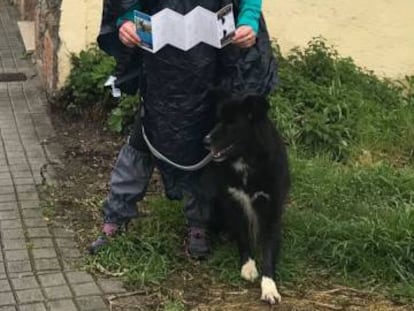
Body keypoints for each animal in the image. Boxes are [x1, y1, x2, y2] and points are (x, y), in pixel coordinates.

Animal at [202, 91, 290, 306]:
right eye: (218, 120)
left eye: (231, 123)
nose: (205, 141)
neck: (247, 161)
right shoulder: (235, 203)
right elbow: (242, 237)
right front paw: (248, 267)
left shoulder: (271, 210)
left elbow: (268, 251)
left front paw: (269, 288)